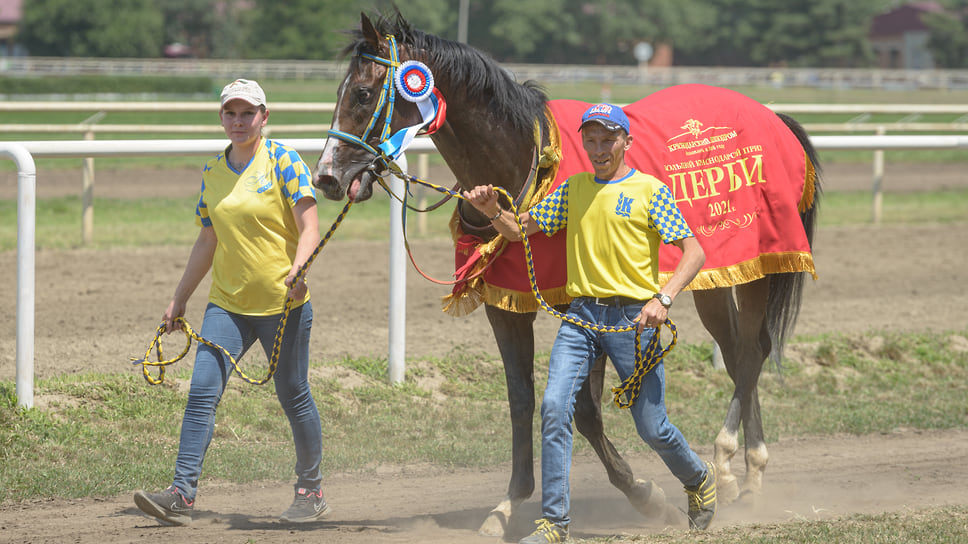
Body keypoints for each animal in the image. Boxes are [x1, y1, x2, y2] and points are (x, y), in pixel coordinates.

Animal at [314, 9, 820, 540]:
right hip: (713, 278)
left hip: (759, 267)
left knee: (749, 353)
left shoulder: (579, 304)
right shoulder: (506, 306)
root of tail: (775, 118)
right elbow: (521, 400)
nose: (325, 176)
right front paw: (509, 504)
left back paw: (729, 466)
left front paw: (645, 494)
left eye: (362, 93)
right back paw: (745, 474)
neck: (526, 166)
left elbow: (587, 410)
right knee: (742, 348)